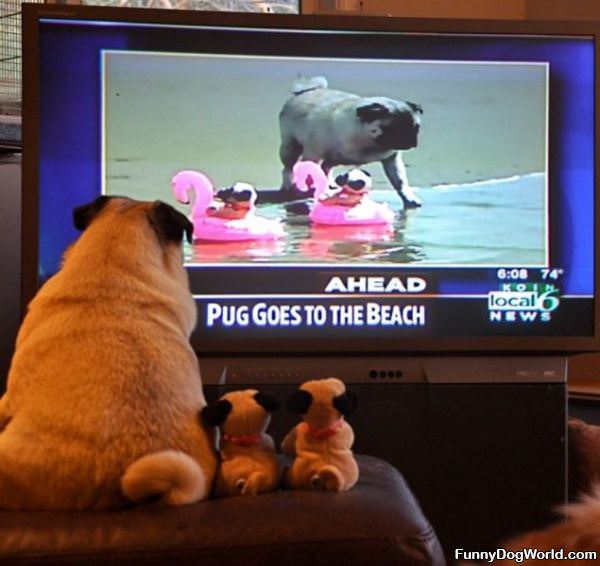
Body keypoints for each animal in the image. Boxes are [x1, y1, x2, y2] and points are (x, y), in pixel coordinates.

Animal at [280, 76, 424, 209]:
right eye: (393, 129)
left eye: (416, 128)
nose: (411, 141)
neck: (367, 141)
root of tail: (307, 91)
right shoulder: (313, 155)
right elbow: (310, 176)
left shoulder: (391, 159)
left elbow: (400, 182)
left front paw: (409, 199)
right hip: (290, 147)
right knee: (288, 168)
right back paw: (288, 186)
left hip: (334, 158)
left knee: (326, 166)